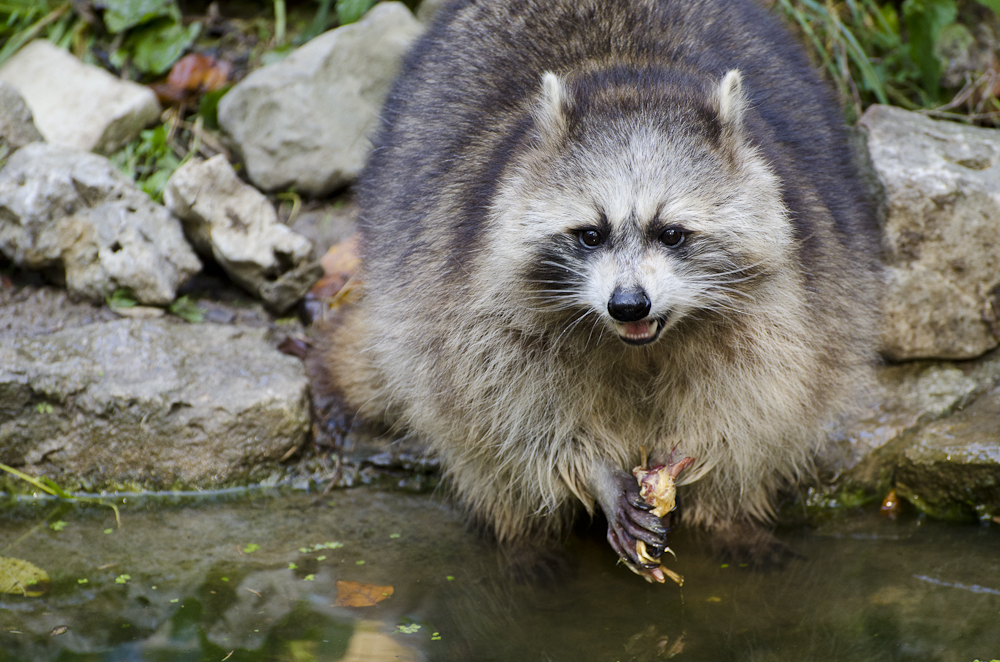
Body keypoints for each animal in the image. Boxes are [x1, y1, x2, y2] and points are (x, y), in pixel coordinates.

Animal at [324, 0, 880, 572]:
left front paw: (693, 460)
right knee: (473, 440)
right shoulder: (475, 303)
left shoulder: (782, 304)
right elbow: (516, 416)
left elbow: (751, 403)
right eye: (591, 234)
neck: (628, 76)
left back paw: (732, 522)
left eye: (671, 233)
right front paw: (597, 474)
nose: (628, 305)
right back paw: (520, 538)